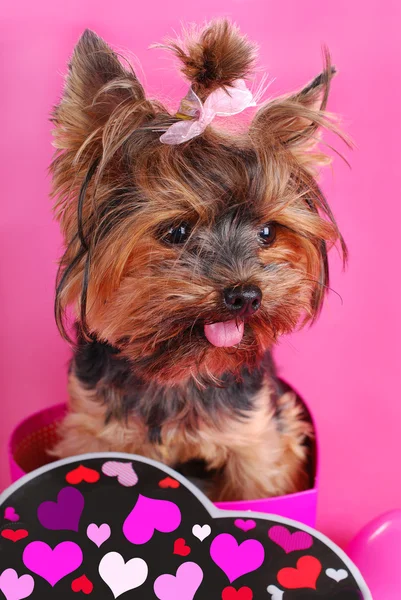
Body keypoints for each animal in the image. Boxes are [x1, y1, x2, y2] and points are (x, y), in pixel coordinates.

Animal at [50, 19, 346, 502]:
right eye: (176, 232)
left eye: (268, 232)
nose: (245, 295)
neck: (180, 373)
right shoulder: (89, 432)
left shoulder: (258, 443)